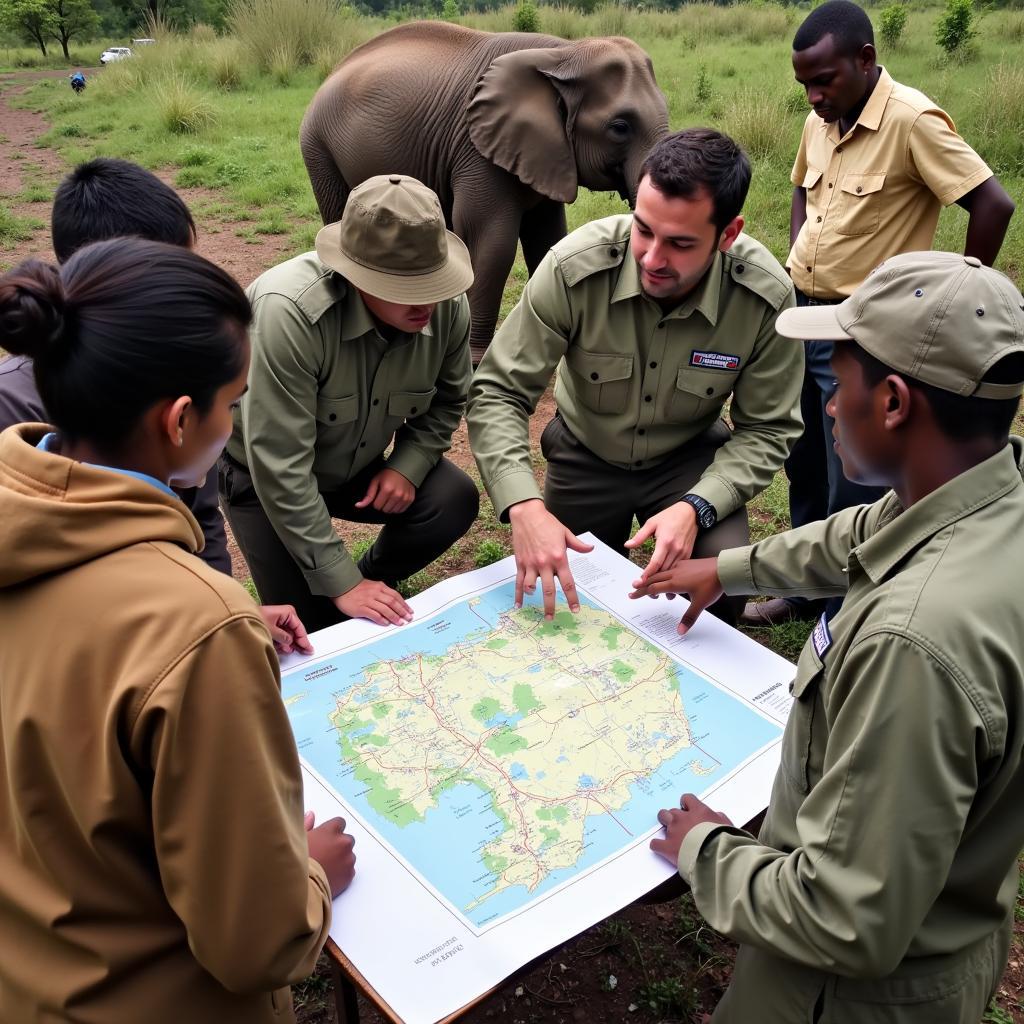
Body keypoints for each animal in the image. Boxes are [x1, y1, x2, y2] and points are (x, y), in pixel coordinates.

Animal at [301, 18, 671, 362]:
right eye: (619, 127)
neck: (565, 53)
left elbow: (547, 238)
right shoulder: (476, 149)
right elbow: (493, 245)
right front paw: (476, 359)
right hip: (318, 146)